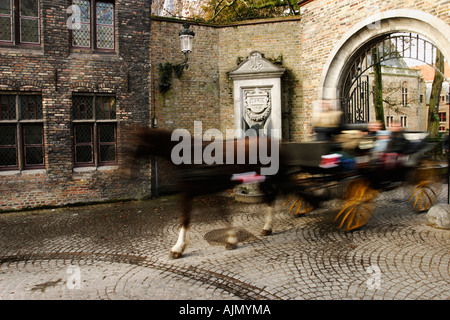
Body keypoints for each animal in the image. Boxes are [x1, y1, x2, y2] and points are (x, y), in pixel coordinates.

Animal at [128, 126, 286, 258]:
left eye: (136, 142)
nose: (128, 167)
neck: (189, 156)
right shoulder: (202, 191)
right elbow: (222, 214)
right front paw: (231, 240)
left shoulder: (190, 192)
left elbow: (186, 219)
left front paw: (178, 248)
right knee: (270, 197)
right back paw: (267, 227)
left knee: (272, 196)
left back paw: (268, 227)